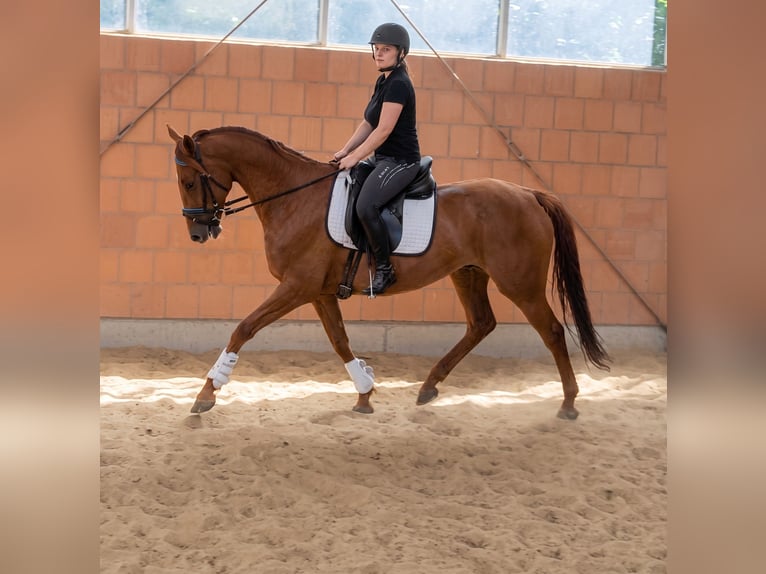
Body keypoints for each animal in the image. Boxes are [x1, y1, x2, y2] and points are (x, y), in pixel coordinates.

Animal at [167, 125, 610, 420]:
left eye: (188, 181)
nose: (197, 233)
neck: (295, 198)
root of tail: (530, 194)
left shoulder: (296, 287)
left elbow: (243, 328)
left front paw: (206, 394)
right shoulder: (318, 292)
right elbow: (340, 341)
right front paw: (365, 394)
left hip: (520, 283)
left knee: (551, 331)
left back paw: (569, 403)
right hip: (468, 273)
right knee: (481, 324)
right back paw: (429, 387)